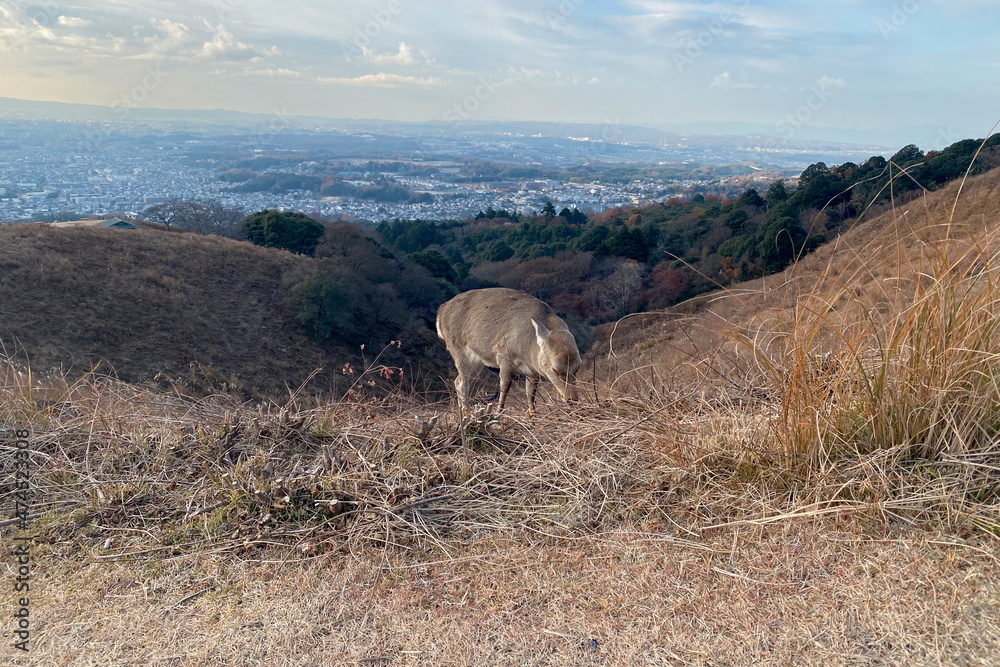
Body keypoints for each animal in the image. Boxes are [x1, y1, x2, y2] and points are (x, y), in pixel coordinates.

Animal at [436, 288, 581, 414]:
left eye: (577, 368)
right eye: (555, 369)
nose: (572, 399)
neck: (527, 350)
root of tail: (440, 314)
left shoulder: (533, 371)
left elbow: (530, 395)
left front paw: (532, 415)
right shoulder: (504, 354)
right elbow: (505, 387)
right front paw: (498, 413)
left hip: (477, 361)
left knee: (458, 380)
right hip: (457, 349)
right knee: (462, 381)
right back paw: (466, 411)